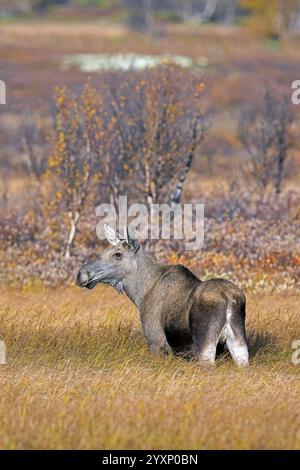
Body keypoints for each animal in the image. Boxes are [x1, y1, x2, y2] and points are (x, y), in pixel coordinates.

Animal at [76, 227, 250, 368]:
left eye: (117, 254)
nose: (81, 274)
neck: (140, 294)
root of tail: (230, 298)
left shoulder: (156, 342)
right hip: (239, 341)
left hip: (205, 343)